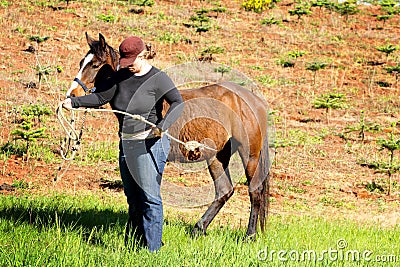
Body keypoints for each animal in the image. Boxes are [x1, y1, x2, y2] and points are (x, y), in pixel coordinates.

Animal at [66, 32, 272, 240]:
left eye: (95, 65)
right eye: (82, 62)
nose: (72, 94)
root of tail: (254, 101)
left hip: (249, 155)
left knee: (255, 191)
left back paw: (249, 235)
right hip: (217, 156)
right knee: (224, 191)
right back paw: (198, 229)